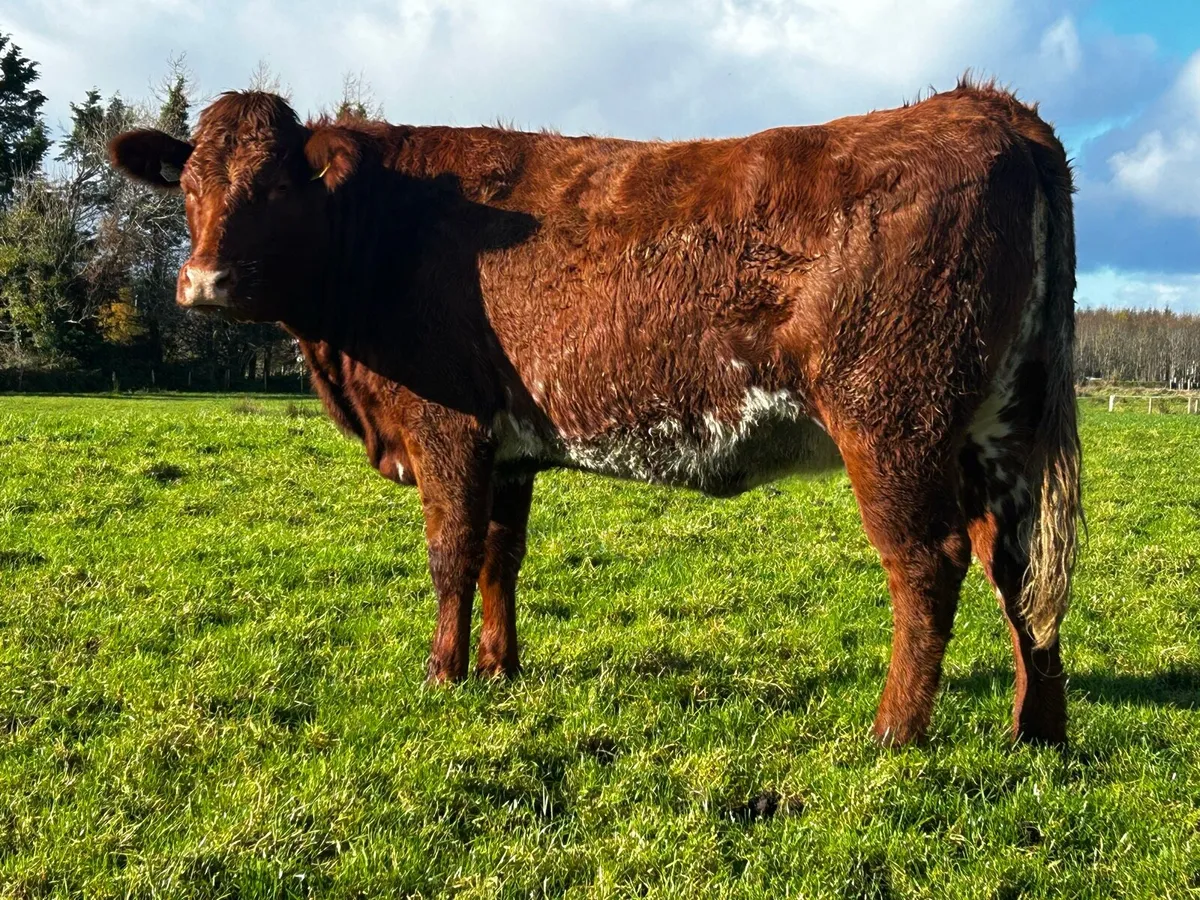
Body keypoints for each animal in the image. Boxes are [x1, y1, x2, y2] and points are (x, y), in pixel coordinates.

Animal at [108, 77, 1081, 747]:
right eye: (187, 186)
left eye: (276, 188)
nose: (203, 282)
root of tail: (983, 106)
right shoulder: (507, 448)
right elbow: (500, 556)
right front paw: (499, 671)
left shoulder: (449, 428)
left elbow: (449, 555)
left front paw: (441, 677)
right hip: (997, 431)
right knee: (1017, 567)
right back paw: (1036, 730)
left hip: (891, 424)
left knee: (928, 566)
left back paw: (892, 733)